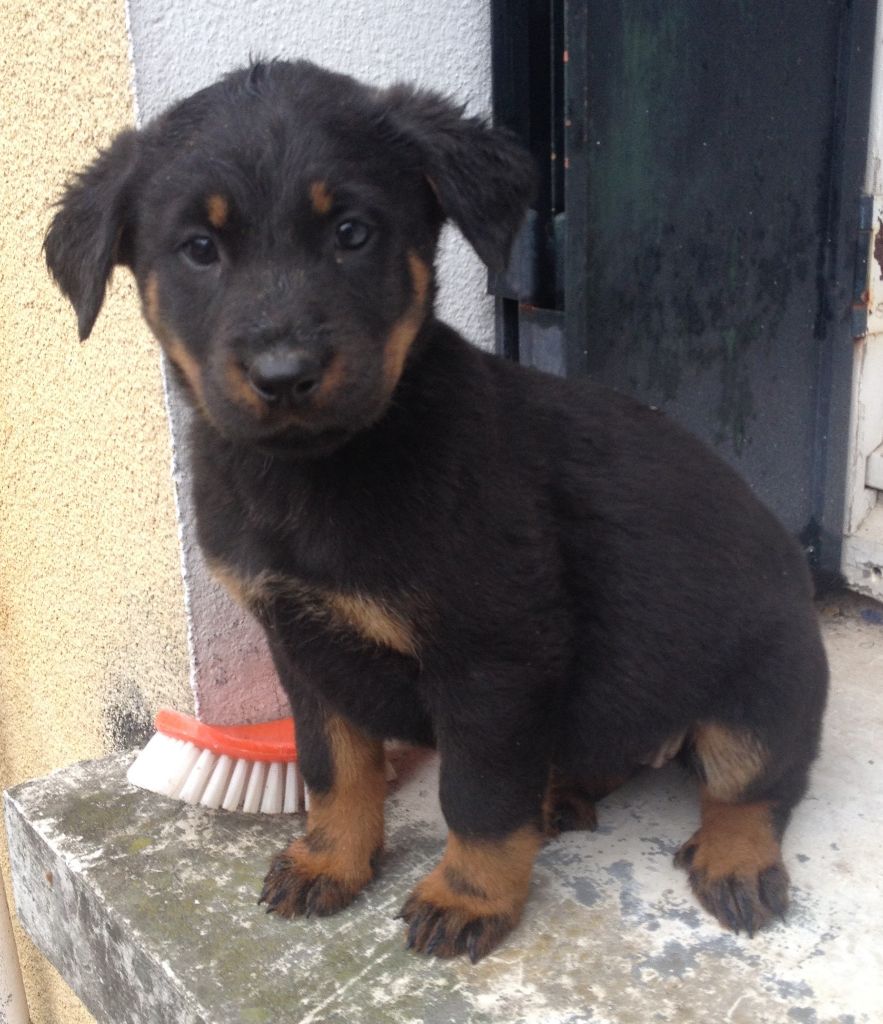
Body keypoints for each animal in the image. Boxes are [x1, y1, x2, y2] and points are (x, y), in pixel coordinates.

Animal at [45, 59, 828, 963]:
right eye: (199, 250)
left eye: (352, 233)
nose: (284, 375)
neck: (323, 472)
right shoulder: (303, 647)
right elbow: (333, 769)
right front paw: (330, 859)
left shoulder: (491, 658)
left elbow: (478, 796)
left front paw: (468, 894)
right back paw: (562, 790)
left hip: (765, 687)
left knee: (753, 783)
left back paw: (734, 858)